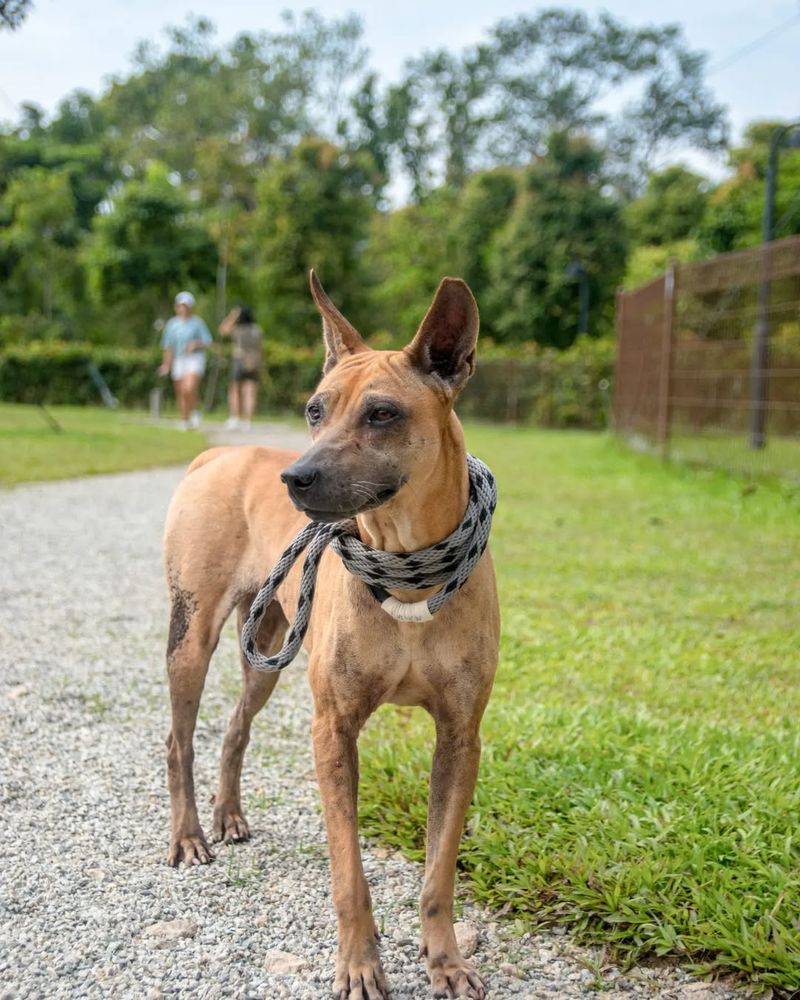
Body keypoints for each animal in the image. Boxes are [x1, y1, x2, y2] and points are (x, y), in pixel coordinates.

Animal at [162, 274, 500, 1000]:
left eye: (382, 414)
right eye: (315, 410)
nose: (295, 478)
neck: (405, 569)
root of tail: (217, 454)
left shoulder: (461, 737)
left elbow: (439, 871)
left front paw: (445, 960)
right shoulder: (333, 728)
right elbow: (348, 871)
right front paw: (359, 963)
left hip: (265, 649)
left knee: (235, 728)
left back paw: (228, 814)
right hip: (191, 636)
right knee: (179, 740)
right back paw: (189, 834)